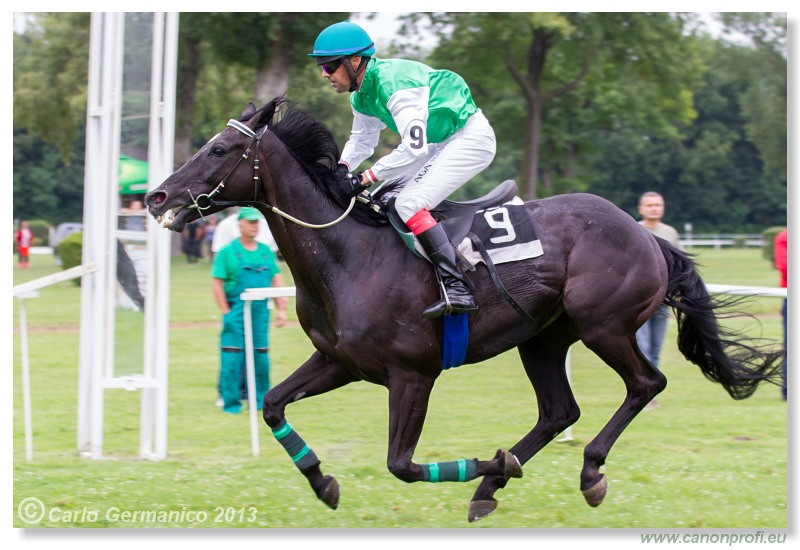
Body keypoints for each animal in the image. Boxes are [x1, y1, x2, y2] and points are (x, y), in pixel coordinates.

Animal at [145, 97, 780, 524]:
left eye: (219, 149)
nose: (156, 196)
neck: (349, 253)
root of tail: (647, 235)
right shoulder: (340, 361)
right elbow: (273, 403)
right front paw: (323, 482)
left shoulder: (412, 375)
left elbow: (401, 464)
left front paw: (488, 464)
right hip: (542, 338)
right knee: (559, 411)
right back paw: (491, 488)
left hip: (604, 325)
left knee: (646, 384)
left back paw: (584, 471)